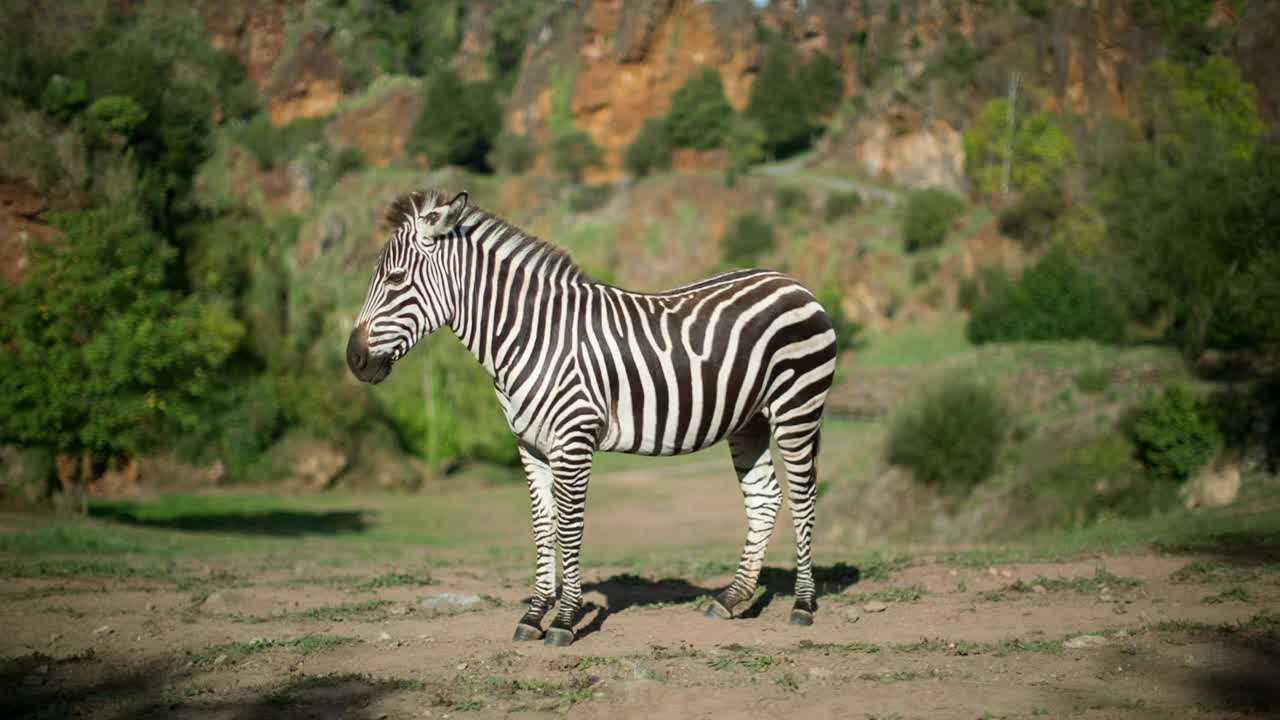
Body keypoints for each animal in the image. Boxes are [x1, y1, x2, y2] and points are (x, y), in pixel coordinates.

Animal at [347, 189, 838, 646]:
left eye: (394, 279)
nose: (354, 360)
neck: (531, 336)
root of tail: (792, 282)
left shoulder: (574, 438)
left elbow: (569, 526)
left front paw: (564, 621)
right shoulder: (530, 445)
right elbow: (542, 525)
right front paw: (534, 615)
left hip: (797, 407)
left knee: (804, 498)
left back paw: (802, 605)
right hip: (749, 420)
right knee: (765, 498)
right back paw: (732, 598)